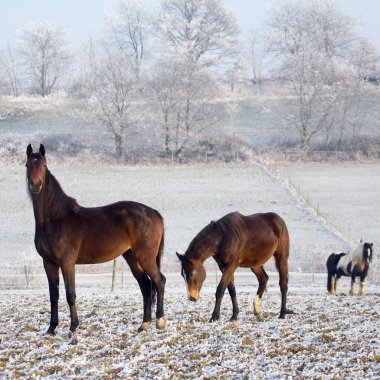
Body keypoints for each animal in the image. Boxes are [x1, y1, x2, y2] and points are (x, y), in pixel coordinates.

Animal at [25, 144, 165, 334]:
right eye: (27, 165)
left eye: (44, 166)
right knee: (145, 285)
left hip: (146, 257)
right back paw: (144, 324)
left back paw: (160, 322)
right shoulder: (49, 263)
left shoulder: (67, 262)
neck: (56, 219)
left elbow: (70, 294)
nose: (36, 185)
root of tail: (153, 213)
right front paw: (51, 329)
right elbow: (53, 296)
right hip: (131, 257)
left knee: (159, 281)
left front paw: (73, 327)